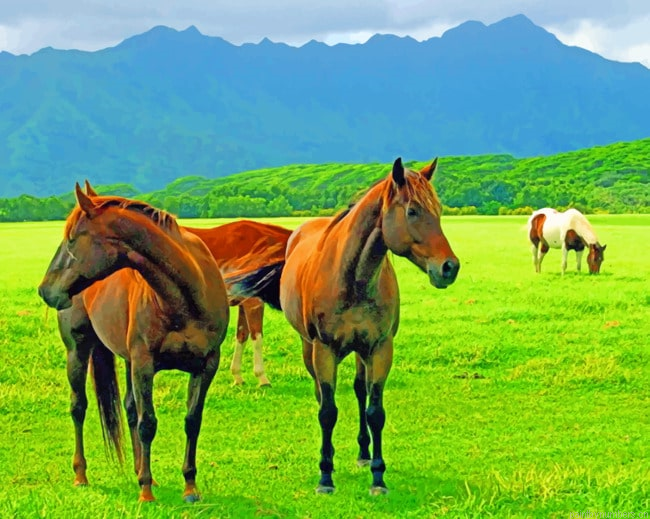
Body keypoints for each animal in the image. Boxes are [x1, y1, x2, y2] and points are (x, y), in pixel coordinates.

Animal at [37, 183, 230, 502]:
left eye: (72, 239)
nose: (45, 291)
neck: (186, 297)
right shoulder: (144, 364)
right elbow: (148, 423)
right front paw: (146, 492)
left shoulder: (206, 365)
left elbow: (192, 421)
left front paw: (190, 487)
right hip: (78, 350)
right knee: (79, 407)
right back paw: (81, 474)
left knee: (129, 408)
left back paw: (140, 469)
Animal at [184, 221, 292, 387]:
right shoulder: (254, 303)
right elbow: (257, 337)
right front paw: (262, 378)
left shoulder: (243, 303)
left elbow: (242, 335)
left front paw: (237, 376)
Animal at [278, 157, 459, 494]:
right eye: (412, 211)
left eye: (439, 210)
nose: (449, 267)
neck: (353, 279)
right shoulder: (324, 350)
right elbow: (328, 411)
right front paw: (325, 476)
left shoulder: (379, 348)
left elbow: (375, 411)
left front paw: (378, 475)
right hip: (309, 348)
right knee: (321, 395)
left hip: (361, 352)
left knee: (360, 391)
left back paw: (363, 453)